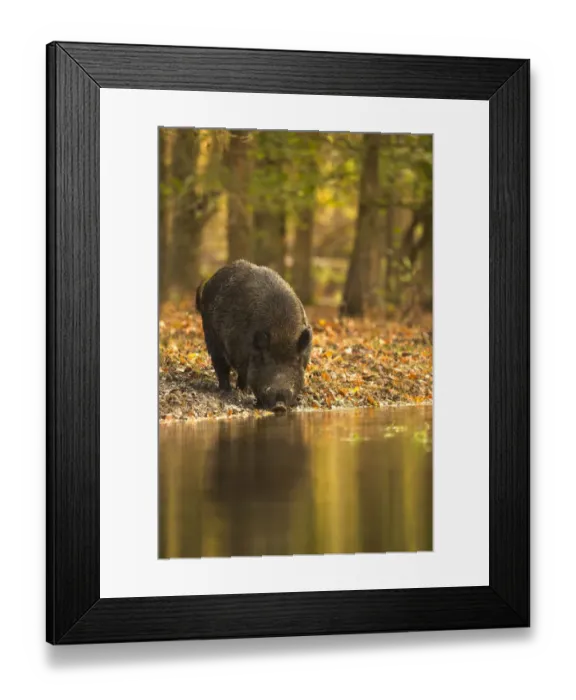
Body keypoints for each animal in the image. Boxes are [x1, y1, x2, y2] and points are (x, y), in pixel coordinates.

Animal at [195, 259, 312, 413]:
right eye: (265, 359)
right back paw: (228, 391)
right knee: (220, 366)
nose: (279, 405)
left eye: (295, 361)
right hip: (211, 336)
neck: (281, 332)